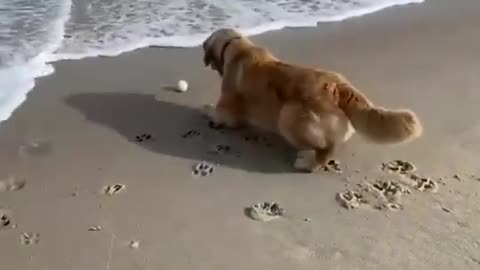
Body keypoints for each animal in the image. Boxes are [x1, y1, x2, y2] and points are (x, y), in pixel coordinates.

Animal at [201, 28, 422, 172]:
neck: (237, 45)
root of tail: (338, 87)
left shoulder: (228, 107)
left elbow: (220, 113)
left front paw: (206, 108)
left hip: (289, 116)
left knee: (325, 149)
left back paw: (307, 162)